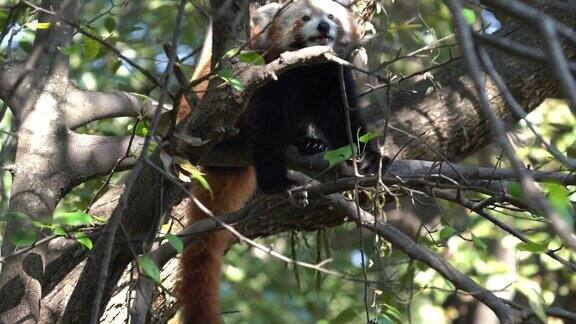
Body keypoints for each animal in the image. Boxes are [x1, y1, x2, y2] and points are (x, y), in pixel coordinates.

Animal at [176, 1, 378, 322]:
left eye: (330, 16)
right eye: (305, 17)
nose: (323, 27)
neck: (305, 67)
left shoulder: (331, 75)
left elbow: (342, 119)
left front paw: (368, 156)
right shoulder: (264, 72)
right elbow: (266, 124)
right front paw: (275, 180)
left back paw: (306, 143)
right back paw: (276, 178)